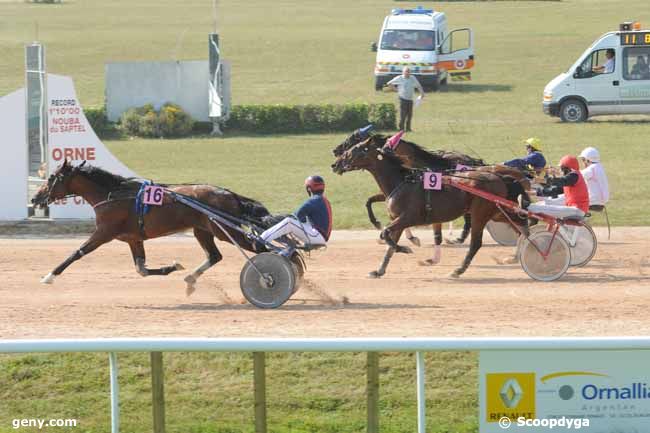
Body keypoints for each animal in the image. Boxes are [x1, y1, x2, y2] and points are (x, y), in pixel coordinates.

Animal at [33, 160, 276, 296]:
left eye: (52, 178)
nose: (35, 198)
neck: (112, 195)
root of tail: (230, 194)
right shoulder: (133, 238)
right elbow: (141, 269)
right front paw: (173, 267)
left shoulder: (104, 232)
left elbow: (77, 252)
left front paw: (49, 276)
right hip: (203, 230)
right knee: (215, 256)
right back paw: (190, 279)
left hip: (225, 230)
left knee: (264, 249)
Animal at [330, 142, 528, 276]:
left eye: (352, 150)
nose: (335, 164)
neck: (402, 181)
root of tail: (500, 177)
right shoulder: (399, 219)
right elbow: (389, 243)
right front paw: (379, 271)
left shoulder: (407, 217)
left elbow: (386, 233)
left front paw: (406, 248)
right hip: (498, 212)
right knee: (522, 226)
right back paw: (519, 253)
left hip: (480, 213)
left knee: (476, 243)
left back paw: (458, 270)